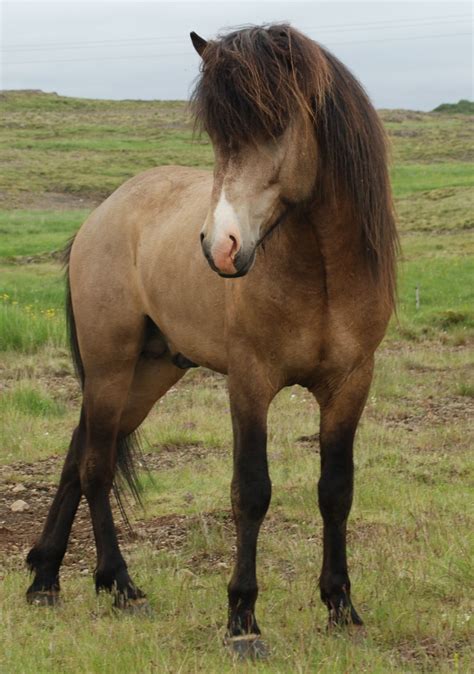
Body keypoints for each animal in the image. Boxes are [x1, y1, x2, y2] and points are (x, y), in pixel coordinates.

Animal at [25, 23, 396, 652]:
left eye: (277, 125)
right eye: (219, 137)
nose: (219, 246)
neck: (321, 272)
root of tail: (102, 214)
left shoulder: (351, 383)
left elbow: (336, 491)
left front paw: (341, 606)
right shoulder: (250, 383)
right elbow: (251, 491)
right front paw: (242, 618)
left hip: (148, 373)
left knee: (80, 454)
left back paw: (45, 578)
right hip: (110, 365)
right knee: (96, 465)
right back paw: (119, 584)